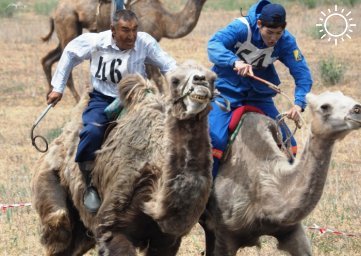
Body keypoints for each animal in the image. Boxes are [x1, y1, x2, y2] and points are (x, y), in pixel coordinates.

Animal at [31, 60, 214, 256]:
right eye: (176, 80)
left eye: (213, 78)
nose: (200, 82)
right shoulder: (112, 223)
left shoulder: (167, 239)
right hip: (50, 180)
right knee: (59, 223)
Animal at [40, 0, 207, 101]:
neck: (164, 21)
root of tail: (54, 12)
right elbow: (157, 77)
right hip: (68, 24)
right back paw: (76, 99)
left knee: (48, 59)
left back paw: (50, 92)